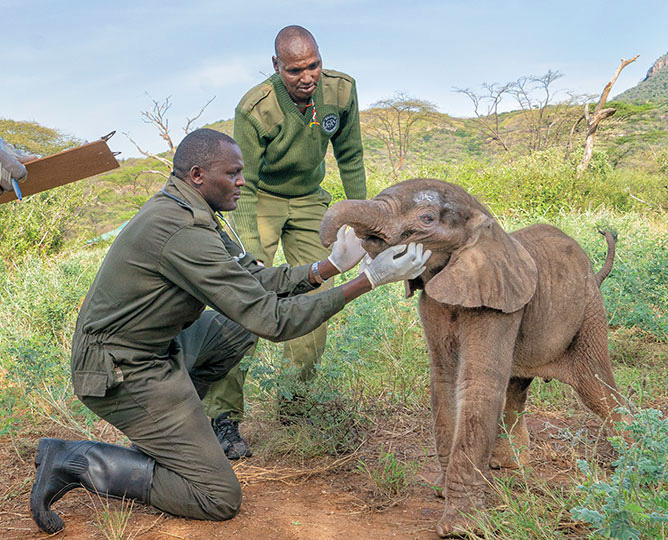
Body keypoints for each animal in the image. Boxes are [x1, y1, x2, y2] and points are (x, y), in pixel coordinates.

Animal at [318, 177, 620, 536]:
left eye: (427, 219)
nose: (336, 241)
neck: (483, 222)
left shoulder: (495, 302)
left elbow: (477, 386)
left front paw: (462, 528)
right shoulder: (434, 300)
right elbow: (445, 381)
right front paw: (442, 492)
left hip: (589, 312)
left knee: (596, 388)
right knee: (517, 387)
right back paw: (508, 465)